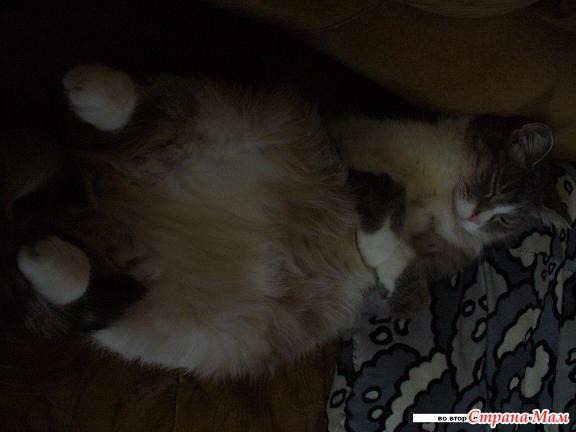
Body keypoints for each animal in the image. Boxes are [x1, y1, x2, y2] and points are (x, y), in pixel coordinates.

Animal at [5, 64, 562, 378]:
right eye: (492, 183)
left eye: (505, 220)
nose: (476, 215)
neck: (439, 194)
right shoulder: (344, 146)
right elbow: (385, 195)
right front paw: (380, 237)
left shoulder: (398, 287)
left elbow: (411, 293)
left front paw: (387, 264)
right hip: (229, 115)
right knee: (98, 126)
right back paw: (97, 92)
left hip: (171, 319)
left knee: (68, 289)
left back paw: (47, 255)